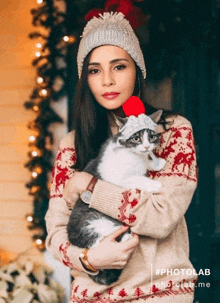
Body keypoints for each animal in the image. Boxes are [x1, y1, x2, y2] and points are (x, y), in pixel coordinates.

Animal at [67, 110, 165, 286]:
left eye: (152, 136)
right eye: (136, 138)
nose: (147, 146)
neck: (133, 155)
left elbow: (145, 164)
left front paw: (156, 162)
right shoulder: (118, 179)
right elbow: (136, 178)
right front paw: (154, 184)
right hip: (95, 224)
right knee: (102, 238)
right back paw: (126, 236)